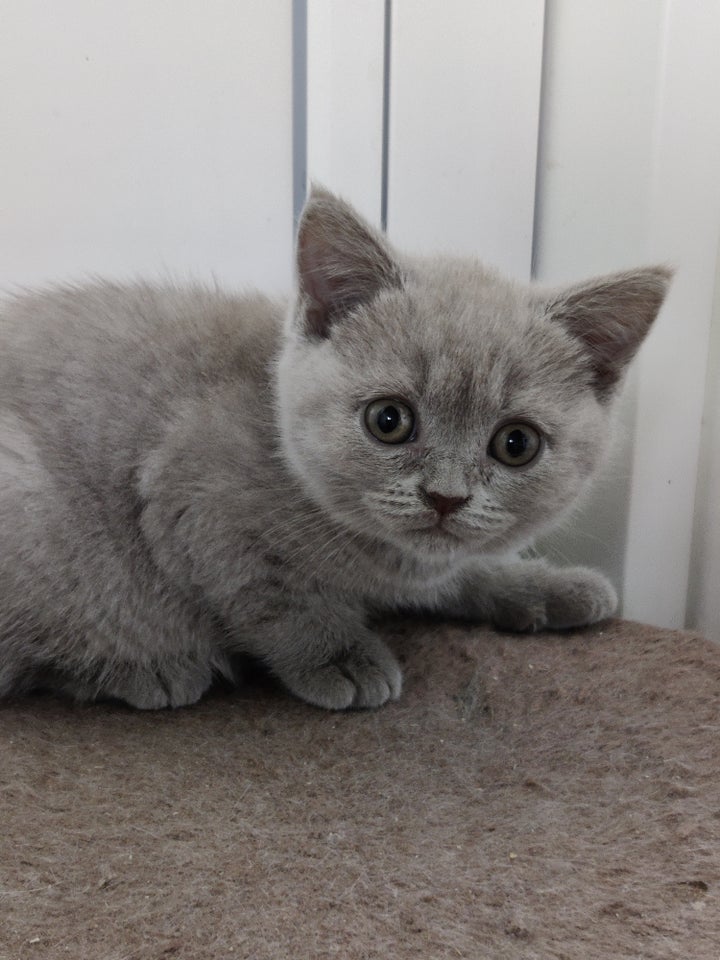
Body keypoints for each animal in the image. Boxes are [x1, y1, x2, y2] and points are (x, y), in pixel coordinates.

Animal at [0, 189, 668, 712]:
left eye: (516, 444)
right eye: (389, 421)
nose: (445, 497)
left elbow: (465, 570)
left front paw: (547, 587)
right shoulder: (192, 502)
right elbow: (276, 595)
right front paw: (340, 656)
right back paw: (149, 668)